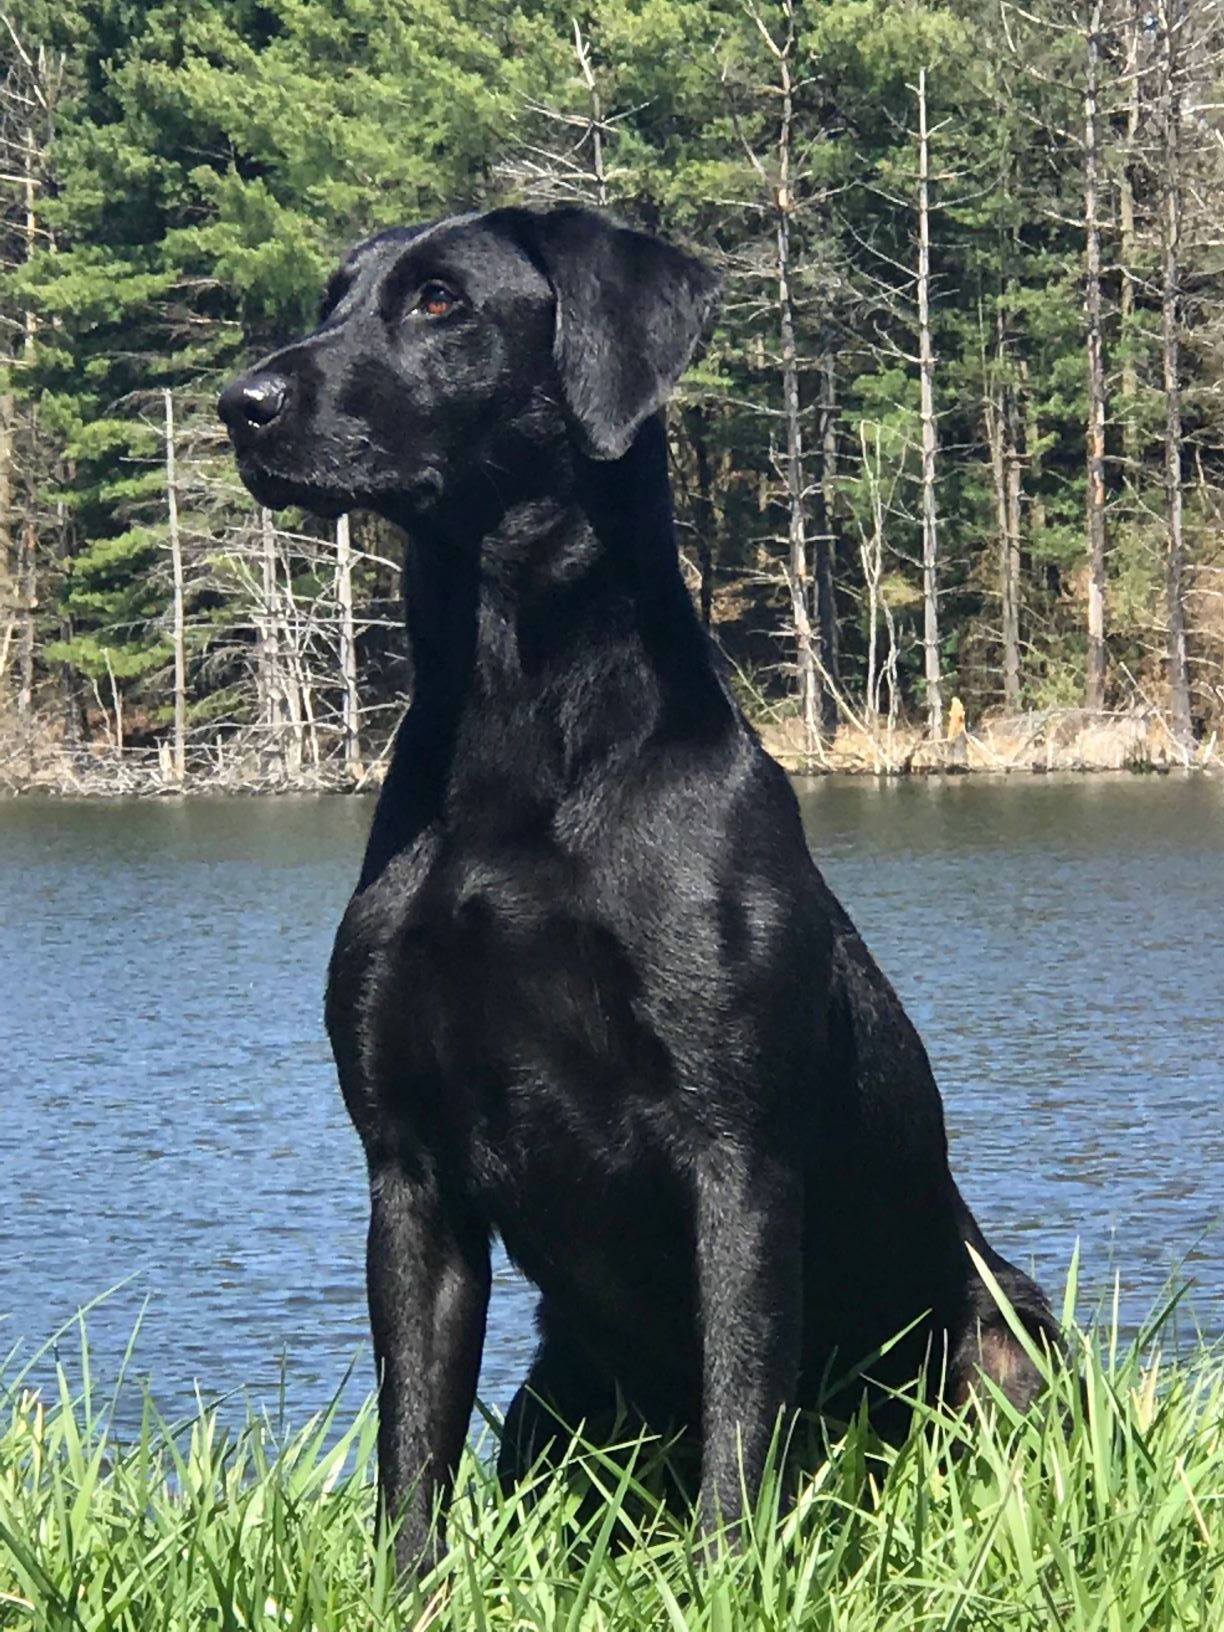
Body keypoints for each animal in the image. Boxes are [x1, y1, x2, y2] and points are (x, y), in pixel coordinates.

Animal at [218, 200, 1057, 1566]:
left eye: (441, 301)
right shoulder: (407, 1168)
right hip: (550, 1400)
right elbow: (411, 1452)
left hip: (1007, 1332)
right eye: (333, 296)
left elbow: (741, 1416)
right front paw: (408, 1588)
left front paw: (725, 1580)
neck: (517, 735)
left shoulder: (738, 1152)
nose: (240, 404)